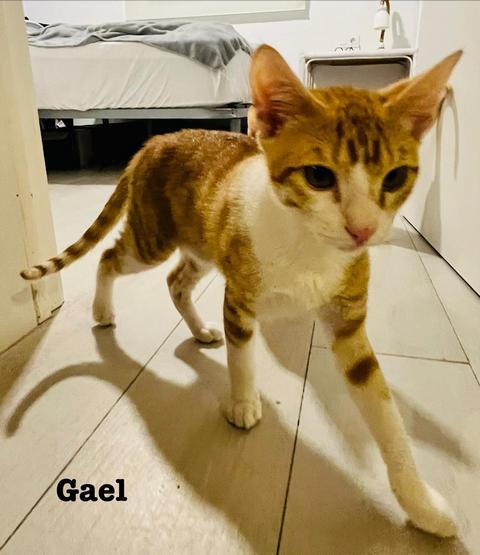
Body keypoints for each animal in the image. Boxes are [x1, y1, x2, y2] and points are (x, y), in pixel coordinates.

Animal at [22, 45, 462, 538]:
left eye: (395, 178)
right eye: (319, 176)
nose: (364, 230)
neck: (309, 248)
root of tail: (155, 140)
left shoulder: (348, 322)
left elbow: (386, 416)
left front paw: (421, 504)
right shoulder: (240, 296)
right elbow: (243, 357)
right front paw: (244, 403)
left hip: (202, 245)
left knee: (176, 281)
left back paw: (198, 330)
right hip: (154, 238)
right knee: (111, 256)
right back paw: (102, 309)